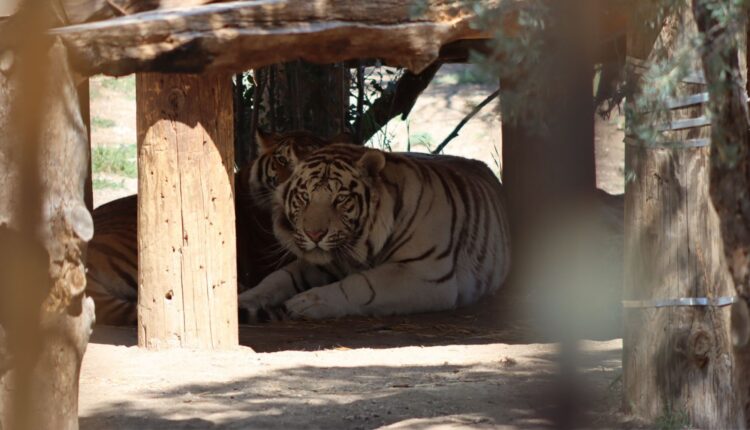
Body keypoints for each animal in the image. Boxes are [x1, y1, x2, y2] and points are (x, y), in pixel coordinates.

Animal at [238, 144, 516, 320]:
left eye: (340, 199)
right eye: (304, 197)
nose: (314, 235)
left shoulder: (424, 273)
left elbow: (362, 285)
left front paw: (305, 303)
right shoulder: (324, 263)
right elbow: (277, 278)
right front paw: (241, 299)